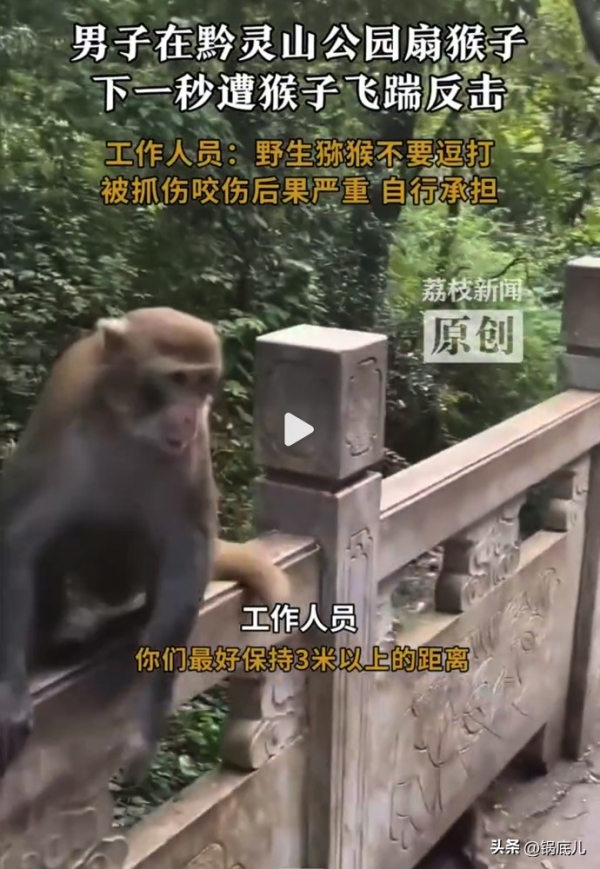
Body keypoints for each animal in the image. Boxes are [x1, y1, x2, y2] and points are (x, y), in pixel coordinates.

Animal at [0, 307, 289, 783]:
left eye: (202, 382)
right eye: (177, 379)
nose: (189, 415)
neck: (126, 425)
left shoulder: (192, 448)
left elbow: (186, 550)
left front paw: (146, 724)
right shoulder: (62, 415)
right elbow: (20, 539)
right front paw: (10, 693)